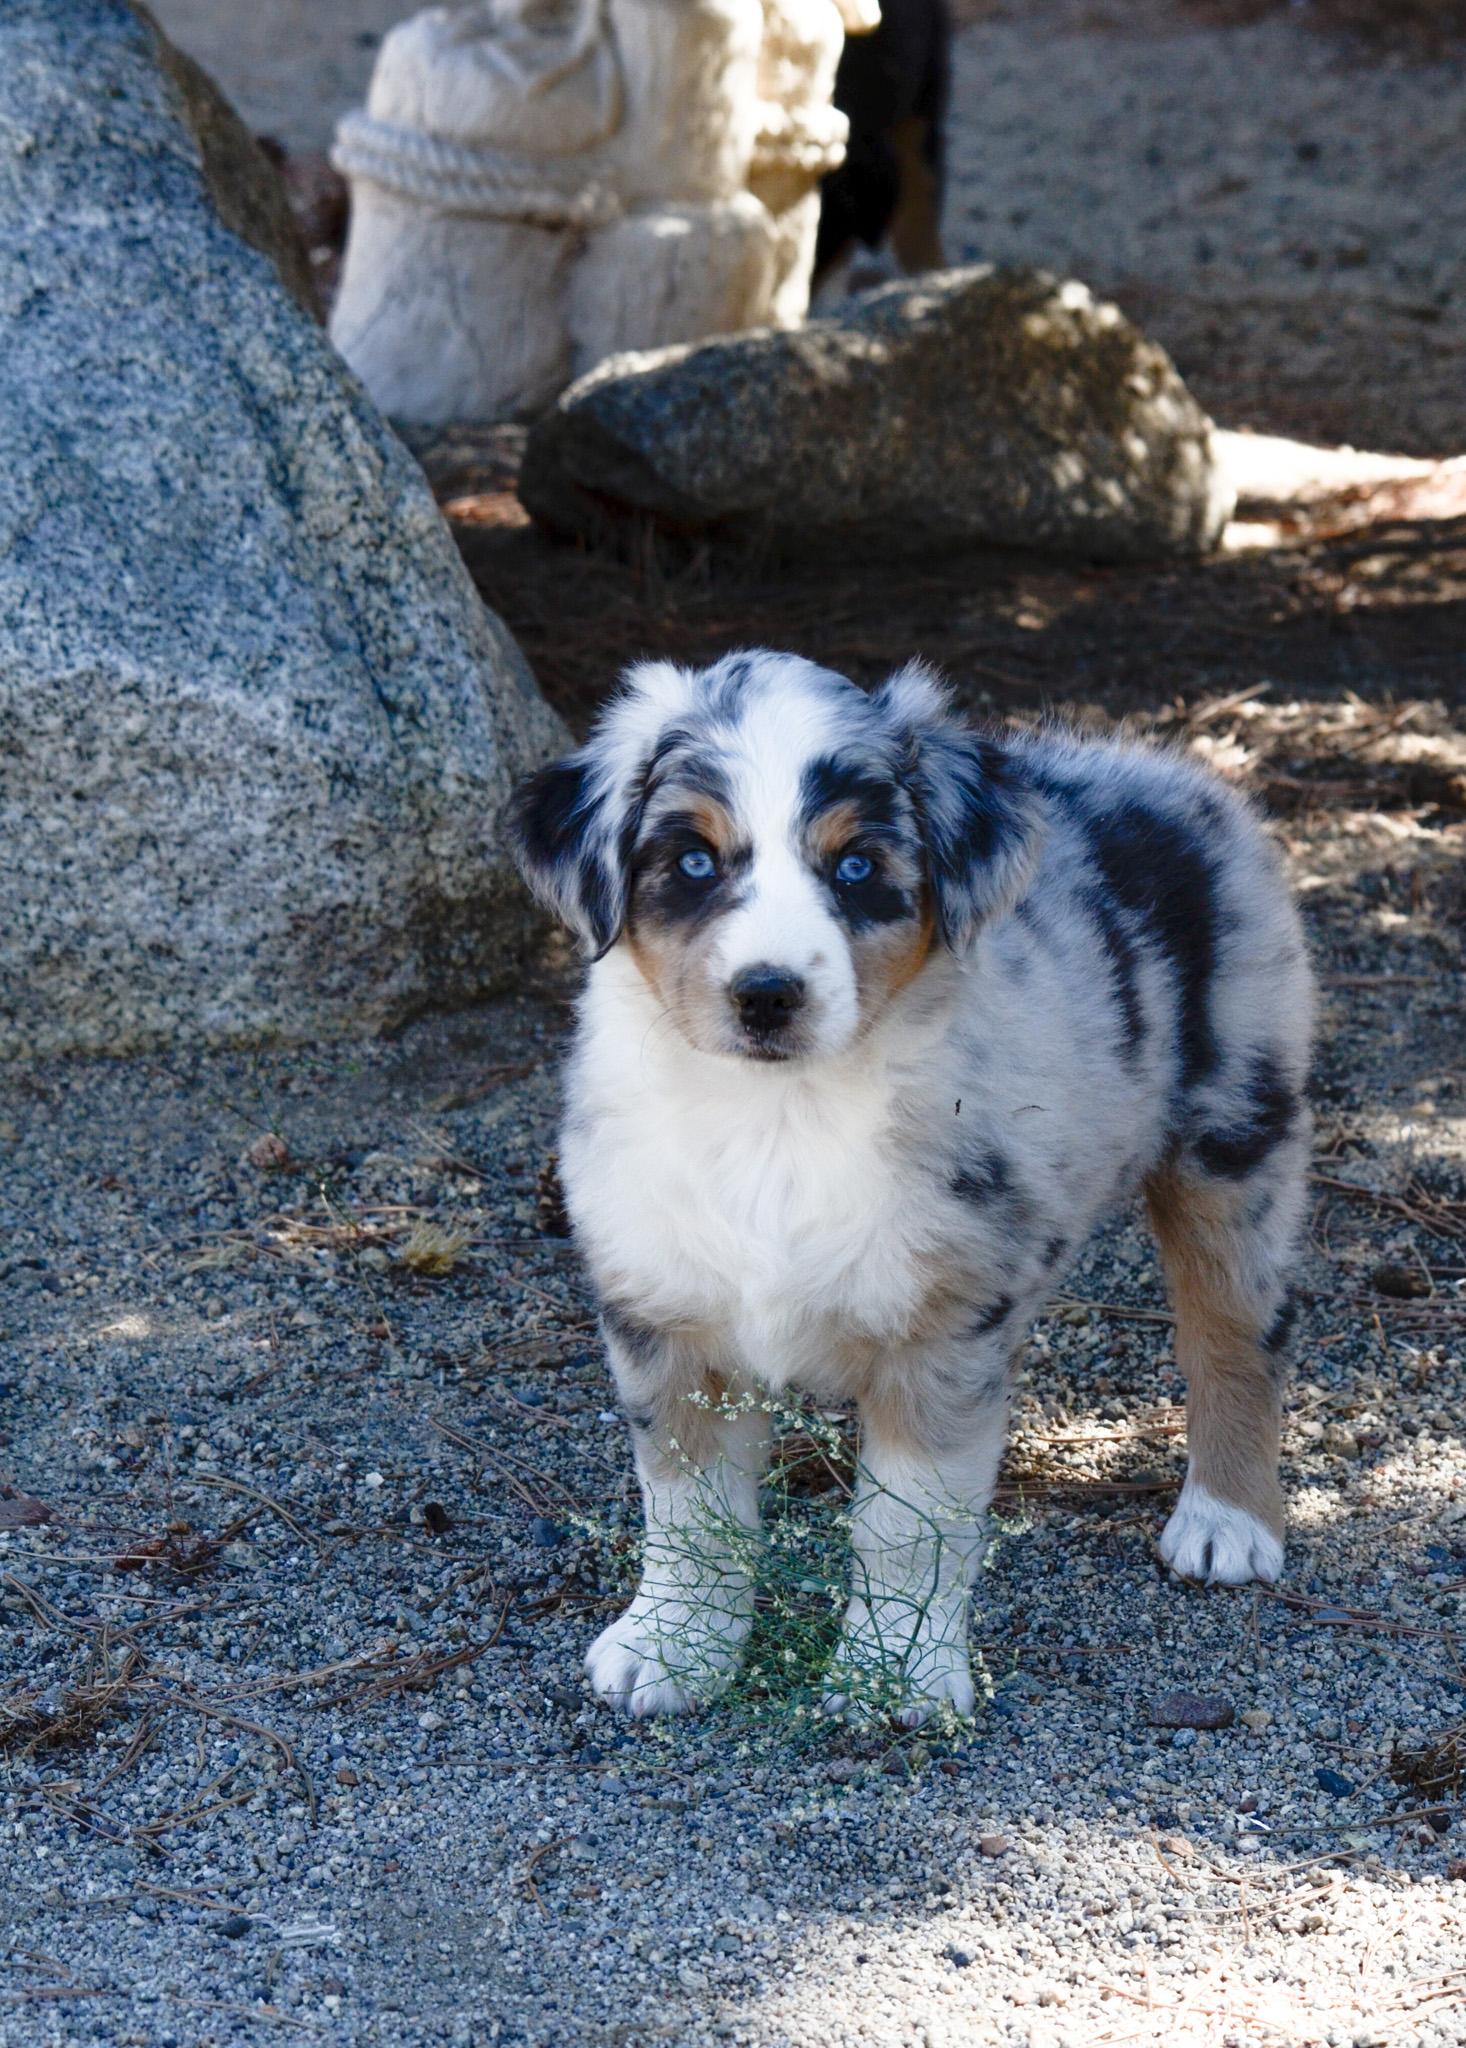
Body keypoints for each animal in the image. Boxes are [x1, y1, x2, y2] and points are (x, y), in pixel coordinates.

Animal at [510, 652, 1313, 1723]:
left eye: (855, 867)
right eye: (693, 862)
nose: (768, 995)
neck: (777, 1120)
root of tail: (1160, 768)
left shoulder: (943, 1327)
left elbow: (906, 1525)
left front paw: (890, 1675)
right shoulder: (663, 1313)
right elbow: (688, 1510)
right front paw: (673, 1648)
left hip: (1237, 1128)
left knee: (1238, 1329)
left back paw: (1227, 1521)